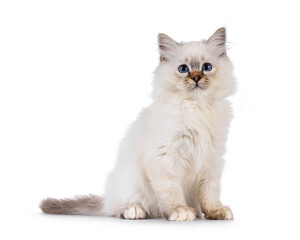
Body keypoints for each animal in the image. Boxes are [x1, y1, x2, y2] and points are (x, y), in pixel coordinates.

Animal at [41, 27, 236, 221]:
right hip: (128, 184)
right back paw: (134, 211)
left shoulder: (211, 159)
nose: (196, 78)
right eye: (183, 69)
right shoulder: (165, 157)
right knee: (119, 208)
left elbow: (210, 193)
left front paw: (215, 211)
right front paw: (180, 210)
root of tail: (106, 201)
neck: (196, 107)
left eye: (206, 67)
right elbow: (171, 192)